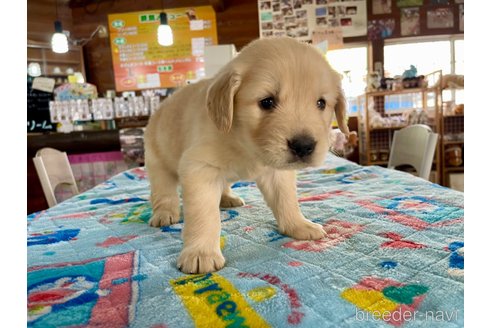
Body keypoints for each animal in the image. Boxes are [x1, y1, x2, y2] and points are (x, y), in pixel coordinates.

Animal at [143, 36, 350, 274]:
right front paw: (201, 252)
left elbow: (286, 200)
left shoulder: (277, 173)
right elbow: (204, 214)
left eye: (321, 103)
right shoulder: (198, 167)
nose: (303, 146)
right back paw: (164, 213)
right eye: (267, 102)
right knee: (163, 191)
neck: (245, 143)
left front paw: (298, 225)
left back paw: (227, 198)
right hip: (158, 161)